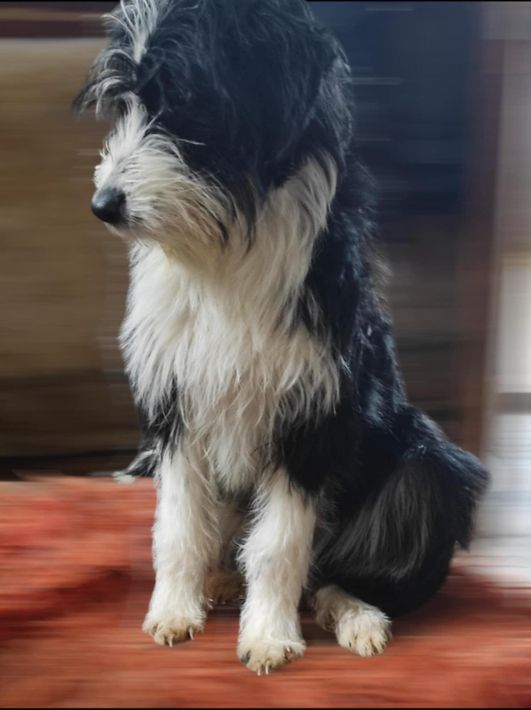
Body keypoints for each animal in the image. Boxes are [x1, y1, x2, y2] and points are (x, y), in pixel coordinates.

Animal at [75, 0, 488, 674]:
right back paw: (220, 582)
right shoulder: (177, 404)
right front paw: (173, 611)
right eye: (124, 104)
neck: (224, 246)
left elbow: (279, 544)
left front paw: (268, 635)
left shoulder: (311, 415)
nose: (103, 205)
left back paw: (356, 616)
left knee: (339, 572)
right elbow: (179, 526)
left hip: (431, 467)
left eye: (184, 101)